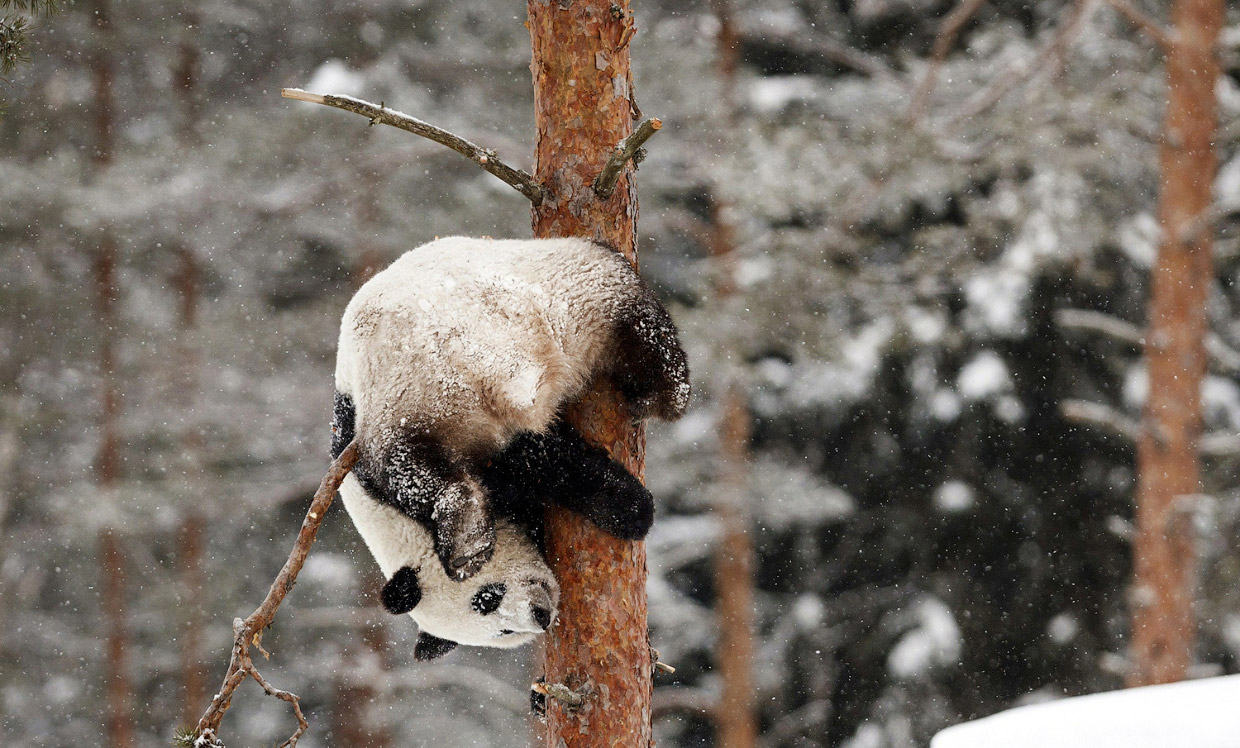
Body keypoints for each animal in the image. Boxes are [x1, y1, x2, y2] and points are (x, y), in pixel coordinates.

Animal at [329, 236, 694, 659]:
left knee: (414, 466)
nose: (540, 616)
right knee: (635, 332)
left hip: (402, 391)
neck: (395, 529)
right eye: (501, 629)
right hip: (561, 307)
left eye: (487, 597)